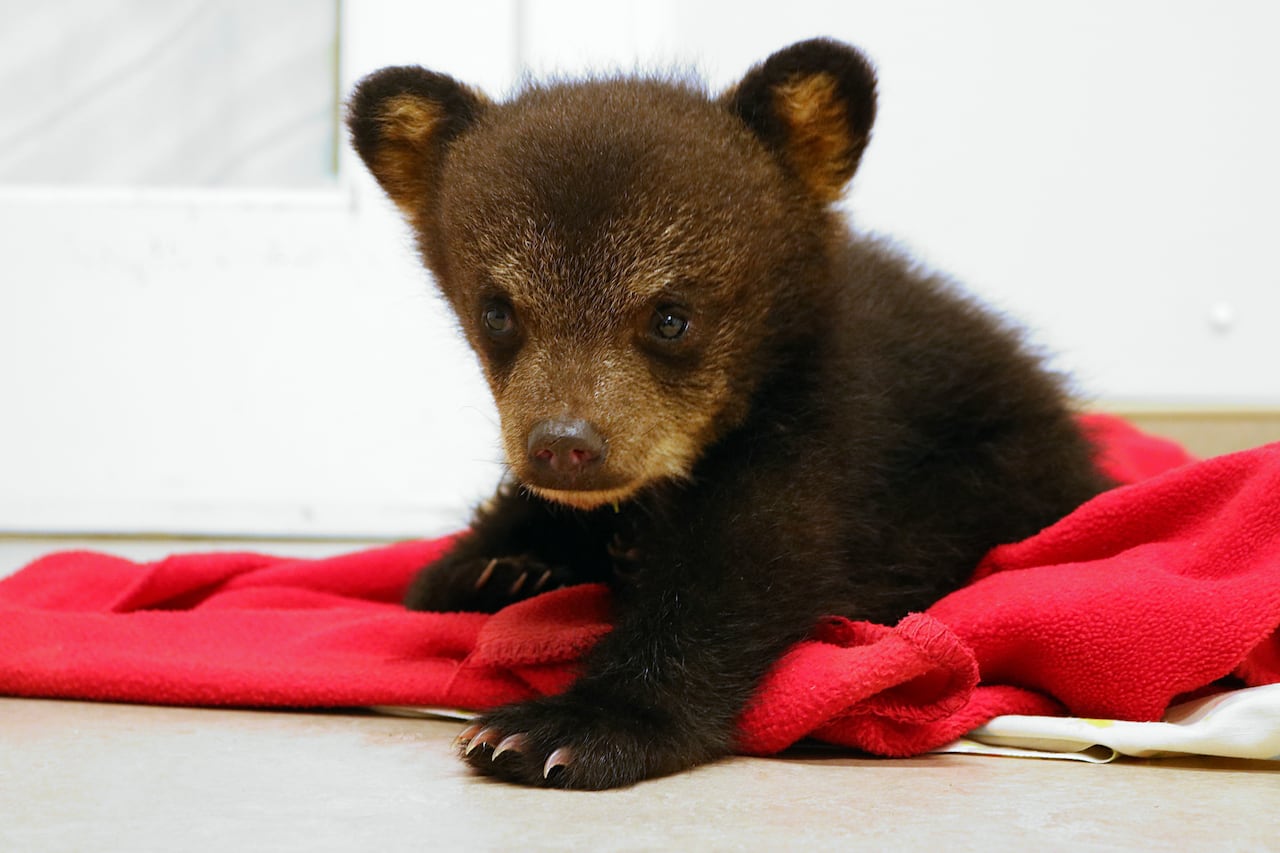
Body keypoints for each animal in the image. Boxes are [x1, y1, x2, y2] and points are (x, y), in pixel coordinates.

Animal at [346, 37, 1112, 789]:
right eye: (498, 312)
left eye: (671, 316)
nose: (564, 444)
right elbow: (436, 580)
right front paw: (498, 571)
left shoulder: (823, 423)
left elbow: (746, 571)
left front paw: (572, 726)